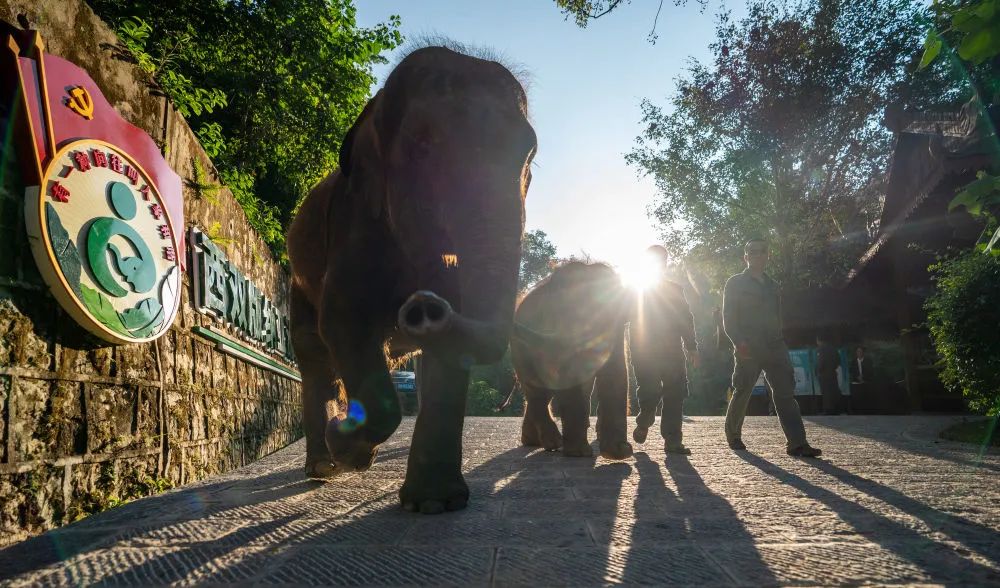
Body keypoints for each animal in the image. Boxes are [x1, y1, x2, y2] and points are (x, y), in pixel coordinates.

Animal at [286, 47, 536, 516]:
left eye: (528, 158)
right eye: (422, 146)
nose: (423, 307)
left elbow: (448, 352)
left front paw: (434, 504)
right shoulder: (353, 224)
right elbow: (344, 322)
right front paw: (347, 444)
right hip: (297, 283)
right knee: (314, 354)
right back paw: (324, 465)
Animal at [516, 260, 632, 460]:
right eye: (559, 311)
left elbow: (615, 372)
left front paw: (618, 452)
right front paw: (578, 453)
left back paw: (535, 441)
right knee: (536, 391)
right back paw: (550, 443)